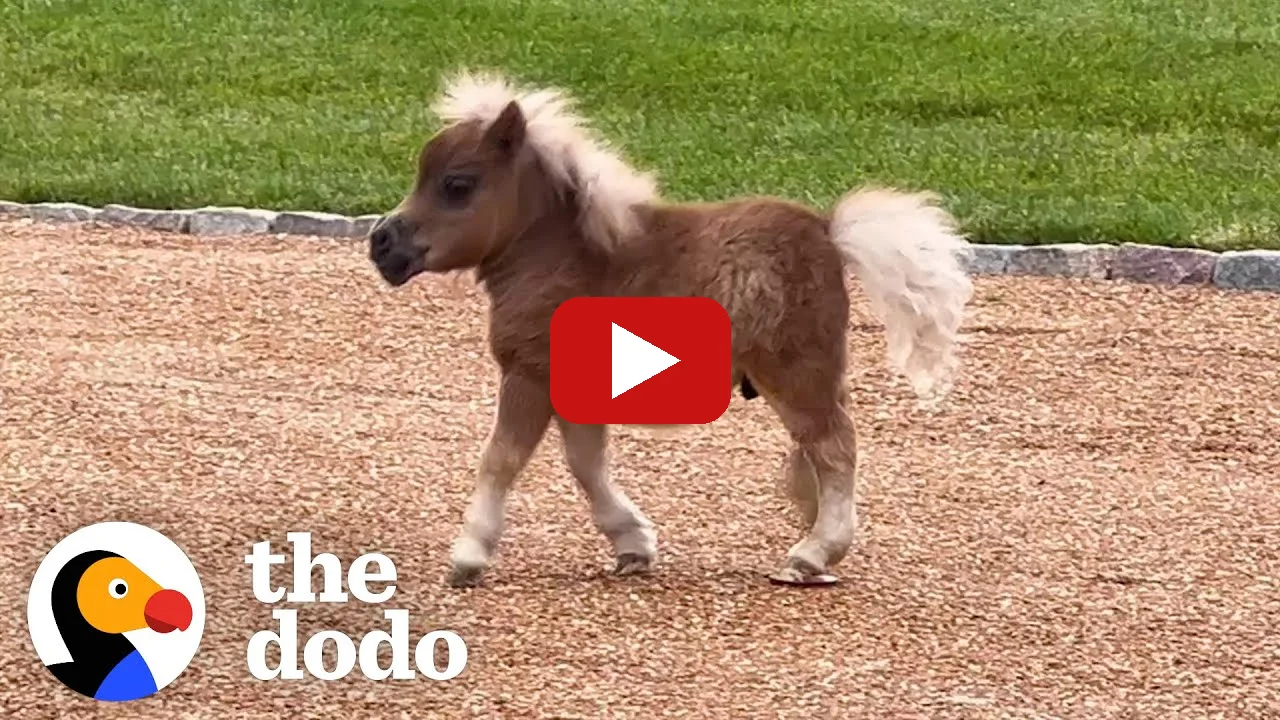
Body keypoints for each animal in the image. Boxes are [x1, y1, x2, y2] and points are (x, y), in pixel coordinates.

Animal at [368, 70, 974, 588]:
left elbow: (502, 458)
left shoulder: (530, 374)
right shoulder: (573, 388)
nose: (382, 243)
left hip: (796, 374)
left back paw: (813, 553)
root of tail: (829, 232)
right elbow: (586, 464)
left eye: (457, 184)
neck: (563, 257)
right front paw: (633, 544)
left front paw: (469, 555)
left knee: (835, 447)